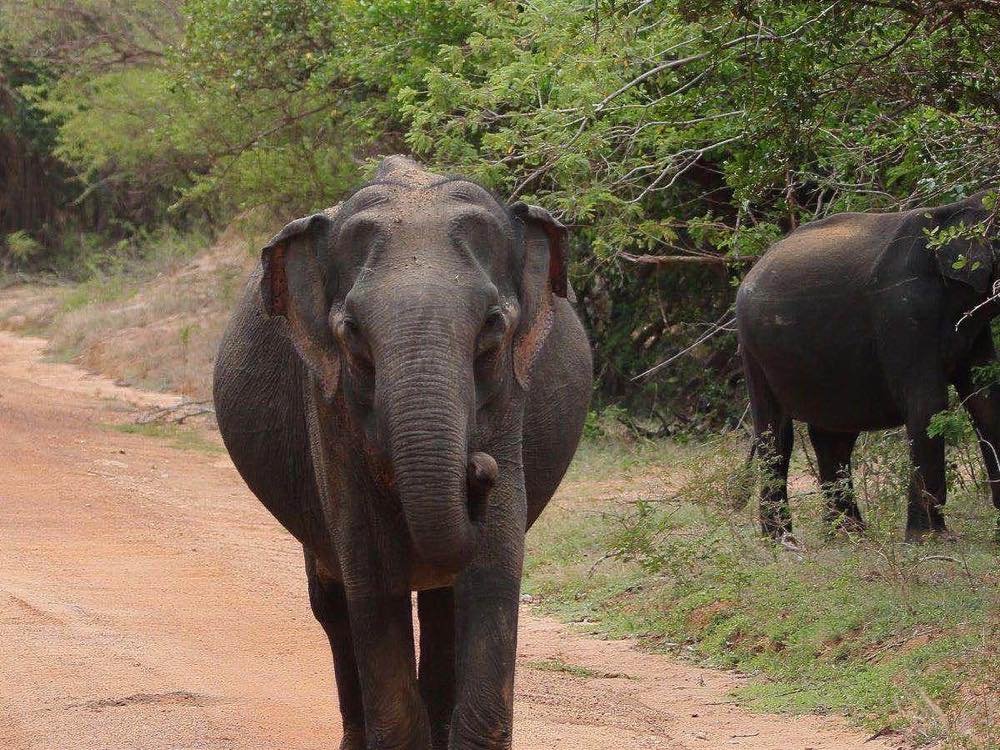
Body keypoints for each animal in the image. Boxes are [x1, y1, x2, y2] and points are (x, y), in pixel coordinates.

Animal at [212, 156, 592, 750]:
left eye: (493, 327)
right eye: (352, 333)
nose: (477, 469)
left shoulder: (510, 398)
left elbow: (494, 568)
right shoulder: (329, 405)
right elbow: (371, 575)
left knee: (441, 601)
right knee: (334, 602)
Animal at [736, 189, 1000, 541]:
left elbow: (986, 400)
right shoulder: (902, 308)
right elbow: (928, 404)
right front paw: (929, 539)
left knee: (834, 435)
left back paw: (849, 535)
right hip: (754, 348)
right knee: (775, 432)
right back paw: (782, 541)